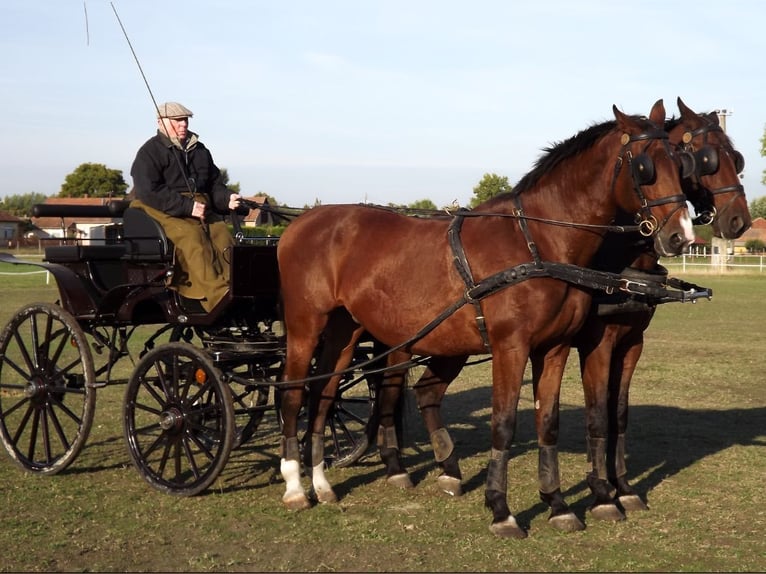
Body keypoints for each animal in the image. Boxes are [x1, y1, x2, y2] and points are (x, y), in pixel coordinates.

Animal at [278, 100, 696, 540]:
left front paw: (558, 504)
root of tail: (301, 222)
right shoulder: (511, 347)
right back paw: (295, 487)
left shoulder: (555, 348)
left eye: (679, 162)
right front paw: (501, 509)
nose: (682, 236)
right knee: (293, 394)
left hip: (347, 331)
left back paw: (322, 484)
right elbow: (504, 424)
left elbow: (547, 422)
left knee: (324, 394)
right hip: (306, 327)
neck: (537, 243)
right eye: (645, 166)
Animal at [370, 97, 752, 528]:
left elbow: (618, 415)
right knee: (388, 394)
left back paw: (448, 471)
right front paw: (602, 493)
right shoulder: (597, 343)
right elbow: (597, 414)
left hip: (450, 344)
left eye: (735, 158)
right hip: (403, 342)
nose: (738, 220)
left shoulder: (630, 344)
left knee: (426, 392)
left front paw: (622, 488)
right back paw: (396, 465)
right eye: (703, 160)